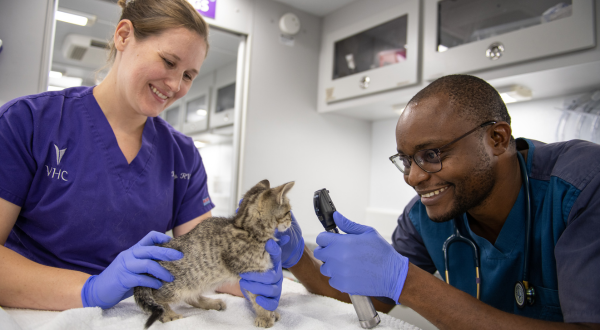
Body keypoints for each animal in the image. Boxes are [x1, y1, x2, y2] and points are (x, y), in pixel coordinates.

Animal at [135, 179, 296, 328]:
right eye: (288, 212)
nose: (290, 222)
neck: (248, 229)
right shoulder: (251, 272)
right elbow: (257, 298)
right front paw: (265, 317)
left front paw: (272, 313)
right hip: (178, 285)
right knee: (157, 298)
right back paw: (168, 314)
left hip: (197, 281)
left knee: (190, 297)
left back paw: (211, 303)